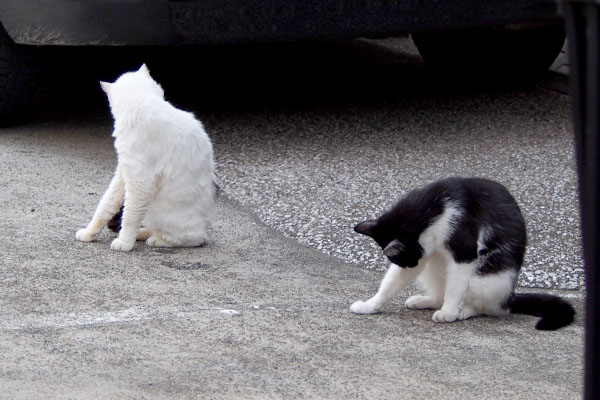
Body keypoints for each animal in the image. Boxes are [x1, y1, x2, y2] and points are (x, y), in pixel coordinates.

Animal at [74, 64, 216, 252]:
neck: (142, 104)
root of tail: (204, 228)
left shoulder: (140, 182)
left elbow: (129, 216)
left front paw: (124, 242)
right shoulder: (122, 174)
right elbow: (105, 205)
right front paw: (90, 233)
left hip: (161, 213)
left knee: (190, 239)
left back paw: (155, 240)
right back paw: (143, 234)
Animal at [352, 177, 576, 330]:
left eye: (404, 258)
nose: (412, 264)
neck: (431, 209)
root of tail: (510, 298)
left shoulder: (464, 253)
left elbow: (455, 289)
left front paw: (449, 312)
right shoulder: (425, 251)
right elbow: (390, 283)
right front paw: (370, 305)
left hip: (485, 277)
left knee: (487, 308)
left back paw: (462, 311)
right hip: (434, 270)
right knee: (440, 293)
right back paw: (424, 301)